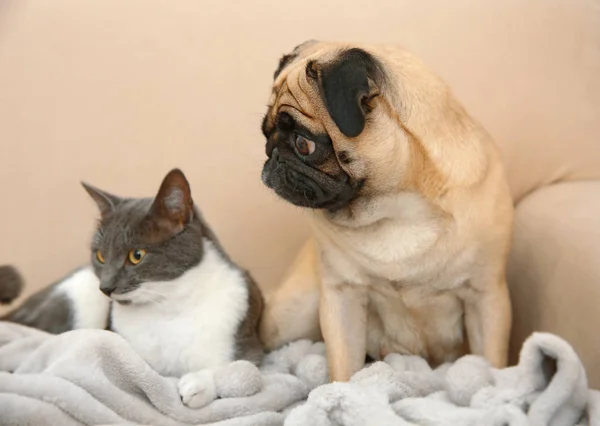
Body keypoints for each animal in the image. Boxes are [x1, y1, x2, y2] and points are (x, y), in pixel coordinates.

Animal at [0, 170, 262, 400]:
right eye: (100, 256)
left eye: (136, 255)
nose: (105, 287)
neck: (167, 307)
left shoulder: (243, 336)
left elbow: (244, 369)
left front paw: (198, 384)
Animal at [260, 40, 512, 382]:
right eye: (265, 133)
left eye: (304, 144)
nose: (272, 156)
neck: (394, 209)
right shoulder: (342, 295)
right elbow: (343, 365)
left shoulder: (486, 296)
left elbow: (493, 361)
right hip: (291, 315)